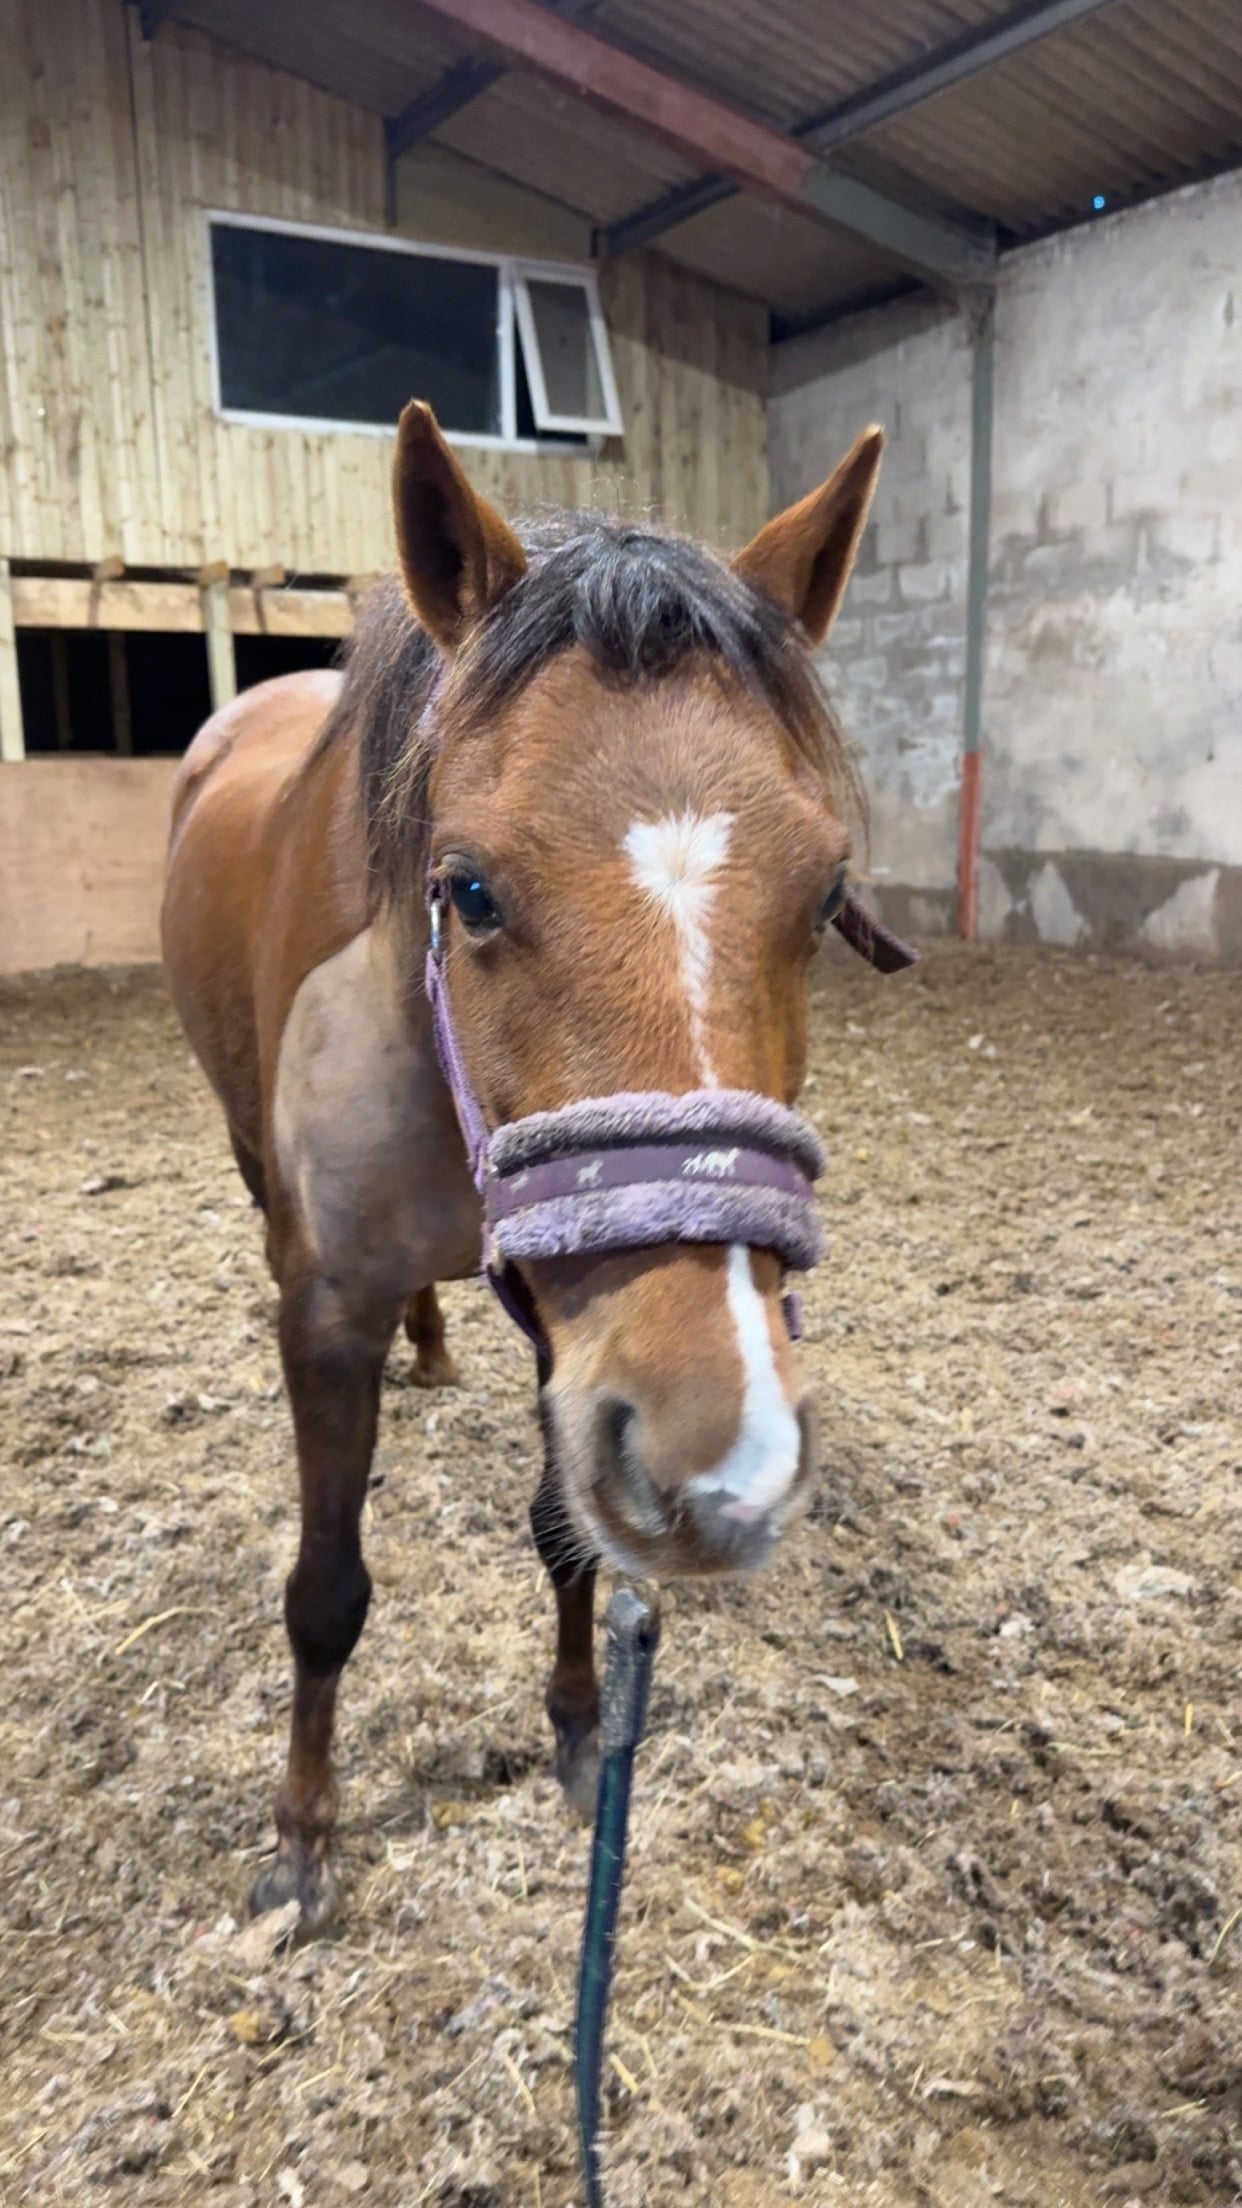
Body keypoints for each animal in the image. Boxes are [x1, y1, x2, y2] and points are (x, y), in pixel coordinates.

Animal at [161, 401, 887, 1930]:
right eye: (470, 889)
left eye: (827, 897)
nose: (723, 1459)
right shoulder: (325, 1310)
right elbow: (325, 1589)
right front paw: (304, 1838)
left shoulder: (575, 1325)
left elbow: (565, 1533)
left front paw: (577, 1732)